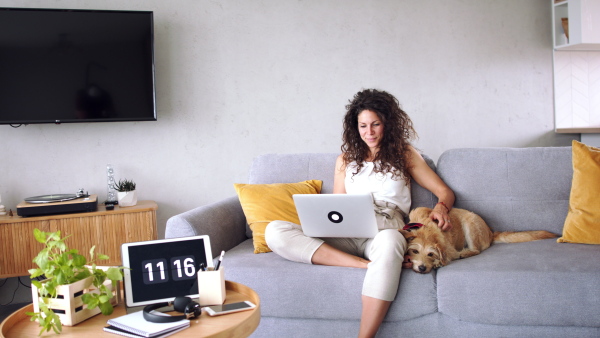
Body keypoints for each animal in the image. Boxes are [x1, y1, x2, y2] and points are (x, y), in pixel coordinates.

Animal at [398, 206, 556, 274]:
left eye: (430, 254)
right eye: (414, 251)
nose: (422, 268)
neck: (425, 230)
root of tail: (490, 233)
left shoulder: (450, 250)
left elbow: (448, 256)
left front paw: (437, 262)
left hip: (470, 223)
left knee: (476, 250)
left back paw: (466, 252)